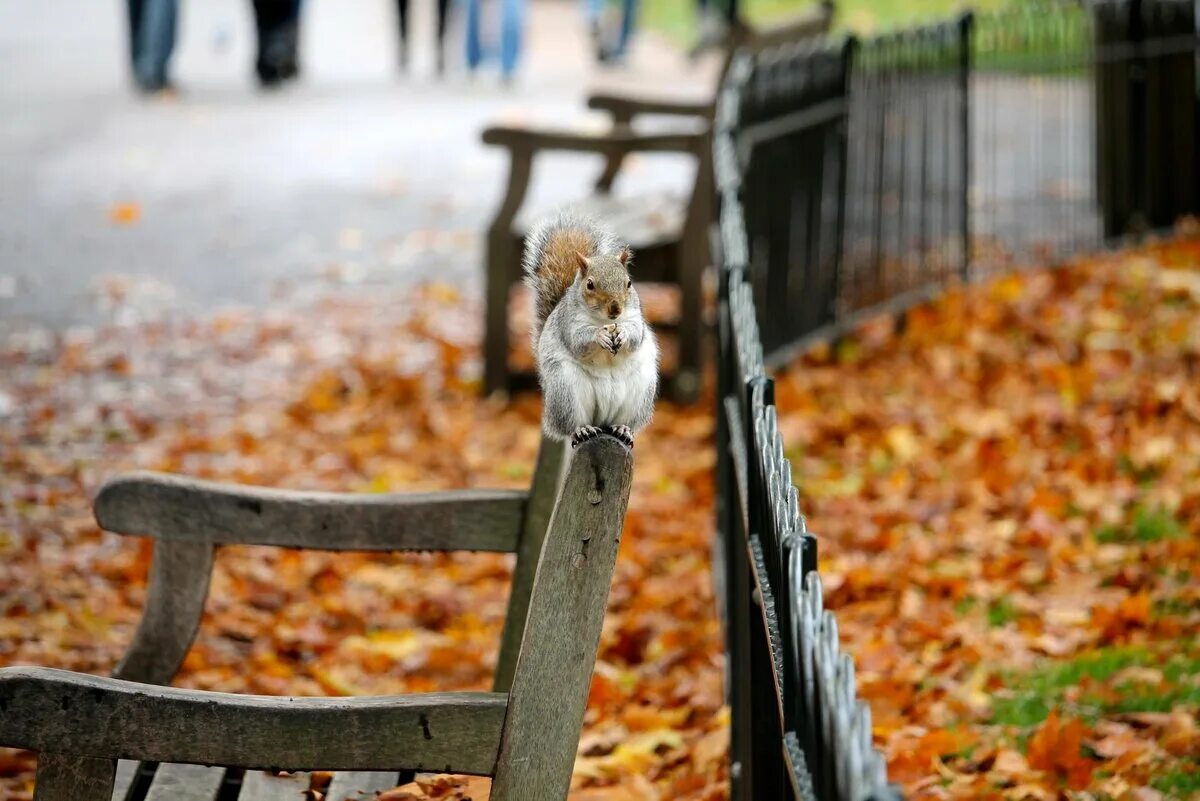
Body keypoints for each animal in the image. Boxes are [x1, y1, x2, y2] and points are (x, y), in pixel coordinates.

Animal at [523, 212, 657, 448]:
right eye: (590, 285)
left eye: (629, 283)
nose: (615, 308)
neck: (604, 320)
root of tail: (602, 420)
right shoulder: (568, 323)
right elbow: (578, 342)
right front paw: (599, 336)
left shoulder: (635, 318)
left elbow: (636, 336)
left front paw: (622, 334)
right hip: (565, 390)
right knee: (570, 425)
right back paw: (582, 430)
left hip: (641, 392)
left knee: (627, 421)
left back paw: (623, 429)